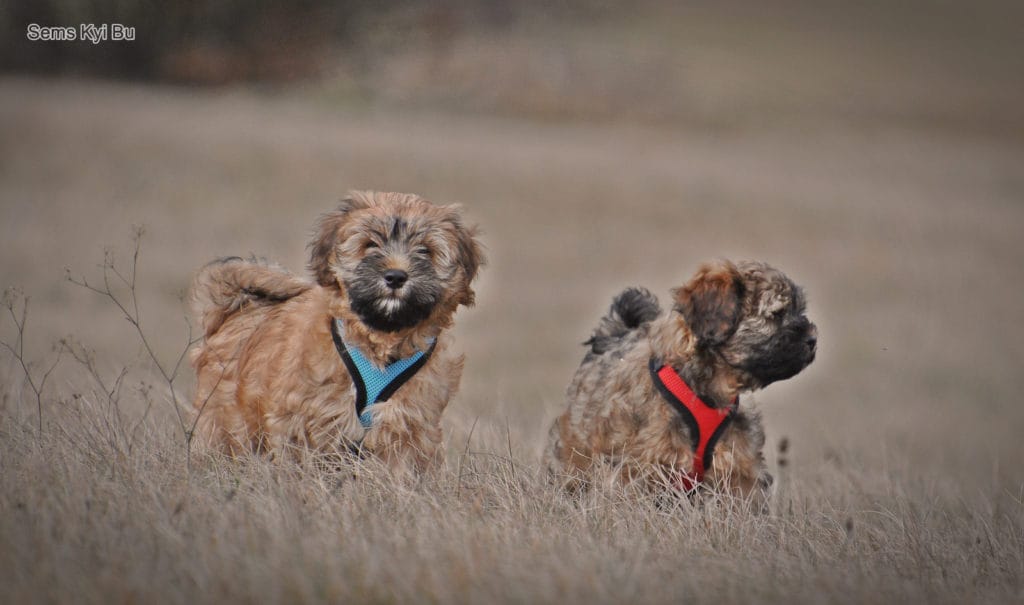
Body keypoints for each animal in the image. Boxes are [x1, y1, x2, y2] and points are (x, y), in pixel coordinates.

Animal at [189, 191, 484, 475]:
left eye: (424, 250)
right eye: (370, 245)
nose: (396, 276)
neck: (379, 343)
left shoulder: (408, 422)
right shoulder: (302, 416)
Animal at [544, 260, 816, 507]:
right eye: (776, 314)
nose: (813, 339)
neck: (706, 387)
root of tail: (612, 337)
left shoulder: (740, 466)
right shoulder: (644, 466)